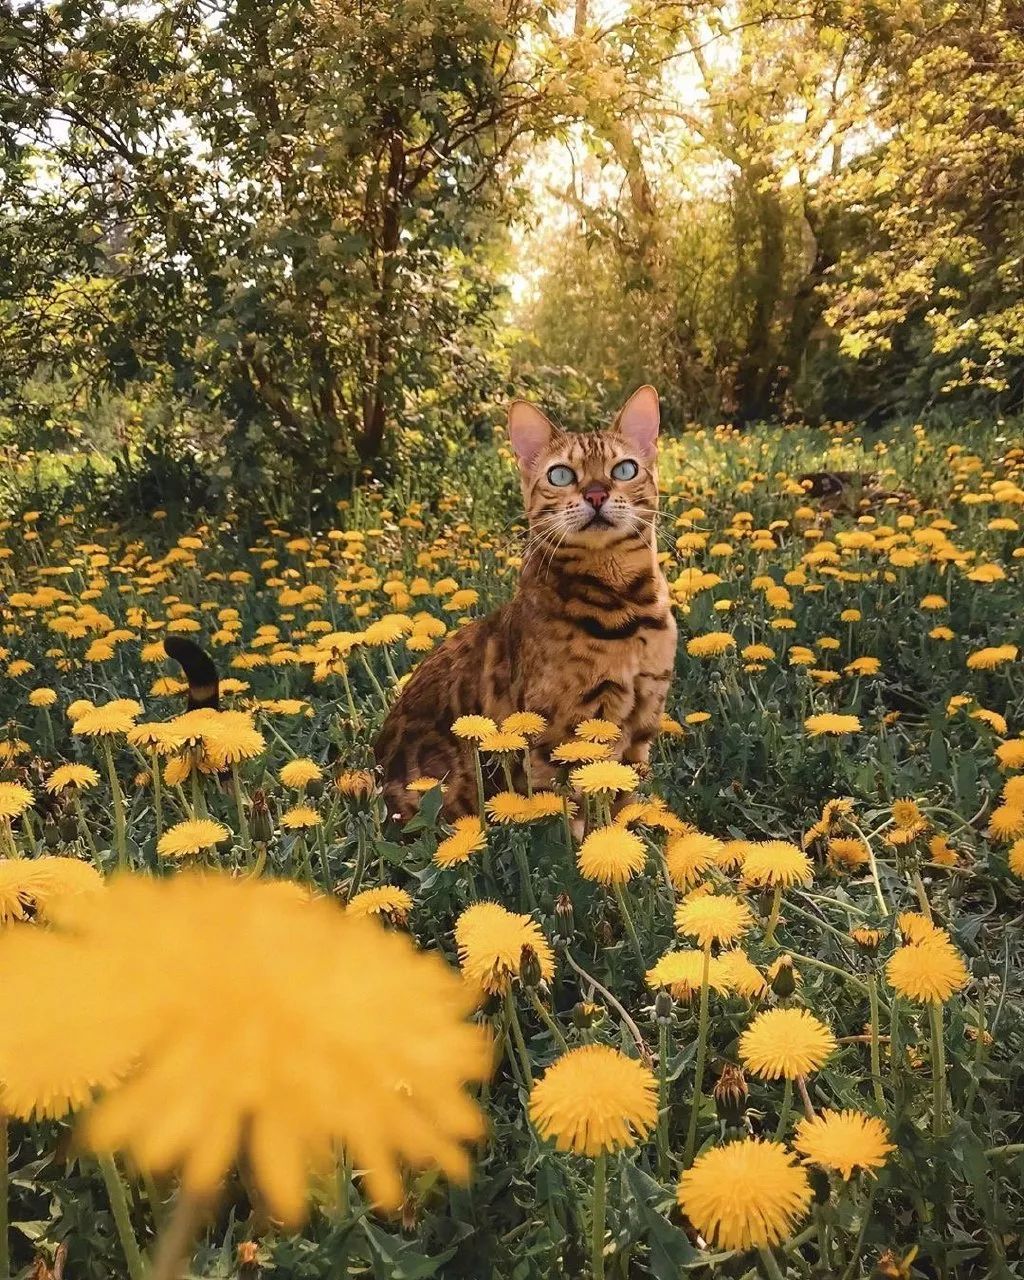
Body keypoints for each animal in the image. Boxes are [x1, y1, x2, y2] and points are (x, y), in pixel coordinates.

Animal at [371, 384, 675, 819]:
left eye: (624, 470)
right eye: (561, 474)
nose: (596, 493)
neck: (626, 607)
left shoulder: (641, 729)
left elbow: (623, 810)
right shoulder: (560, 739)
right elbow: (579, 818)